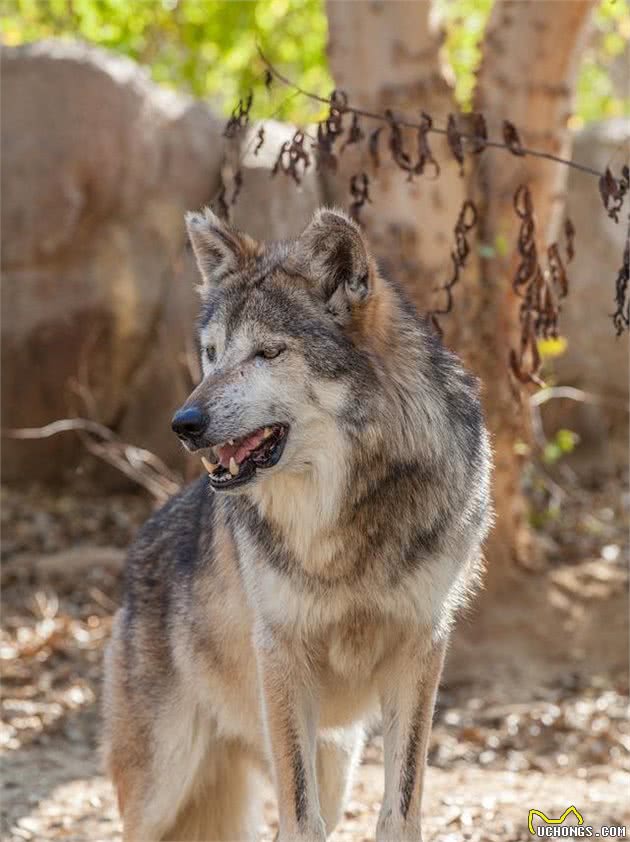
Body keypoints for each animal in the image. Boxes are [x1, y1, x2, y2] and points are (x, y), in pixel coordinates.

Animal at [103, 205, 494, 840]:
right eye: (211, 352)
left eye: (268, 353)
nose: (184, 423)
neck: (341, 518)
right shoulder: (281, 653)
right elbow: (299, 817)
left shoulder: (420, 647)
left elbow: (400, 807)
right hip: (161, 790)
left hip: (332, 757)